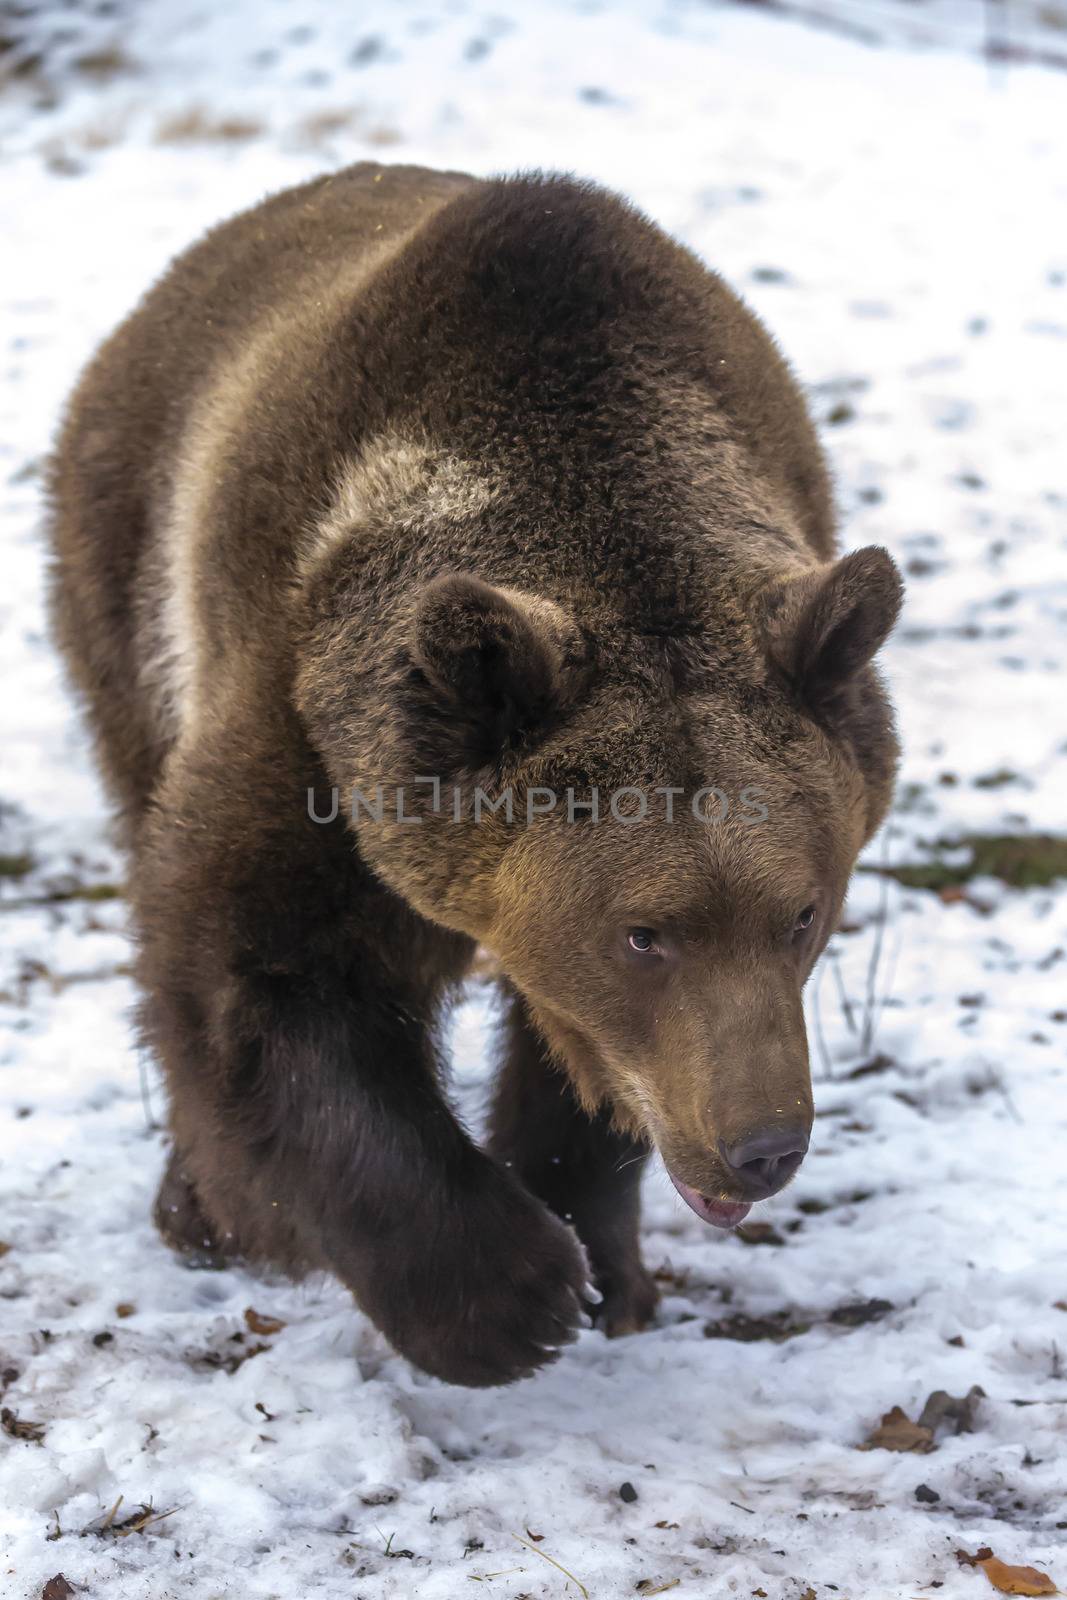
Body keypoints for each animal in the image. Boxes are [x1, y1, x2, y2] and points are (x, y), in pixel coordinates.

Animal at [47, 165, 902, 1388]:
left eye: (800, 913)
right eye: (644, 933)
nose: (761, 1147)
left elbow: (581, 1062)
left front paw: (603, 1268)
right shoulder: (311, 710)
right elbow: (254, 971)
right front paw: (511, 1295)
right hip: (126, 587)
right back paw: (201, 1212)